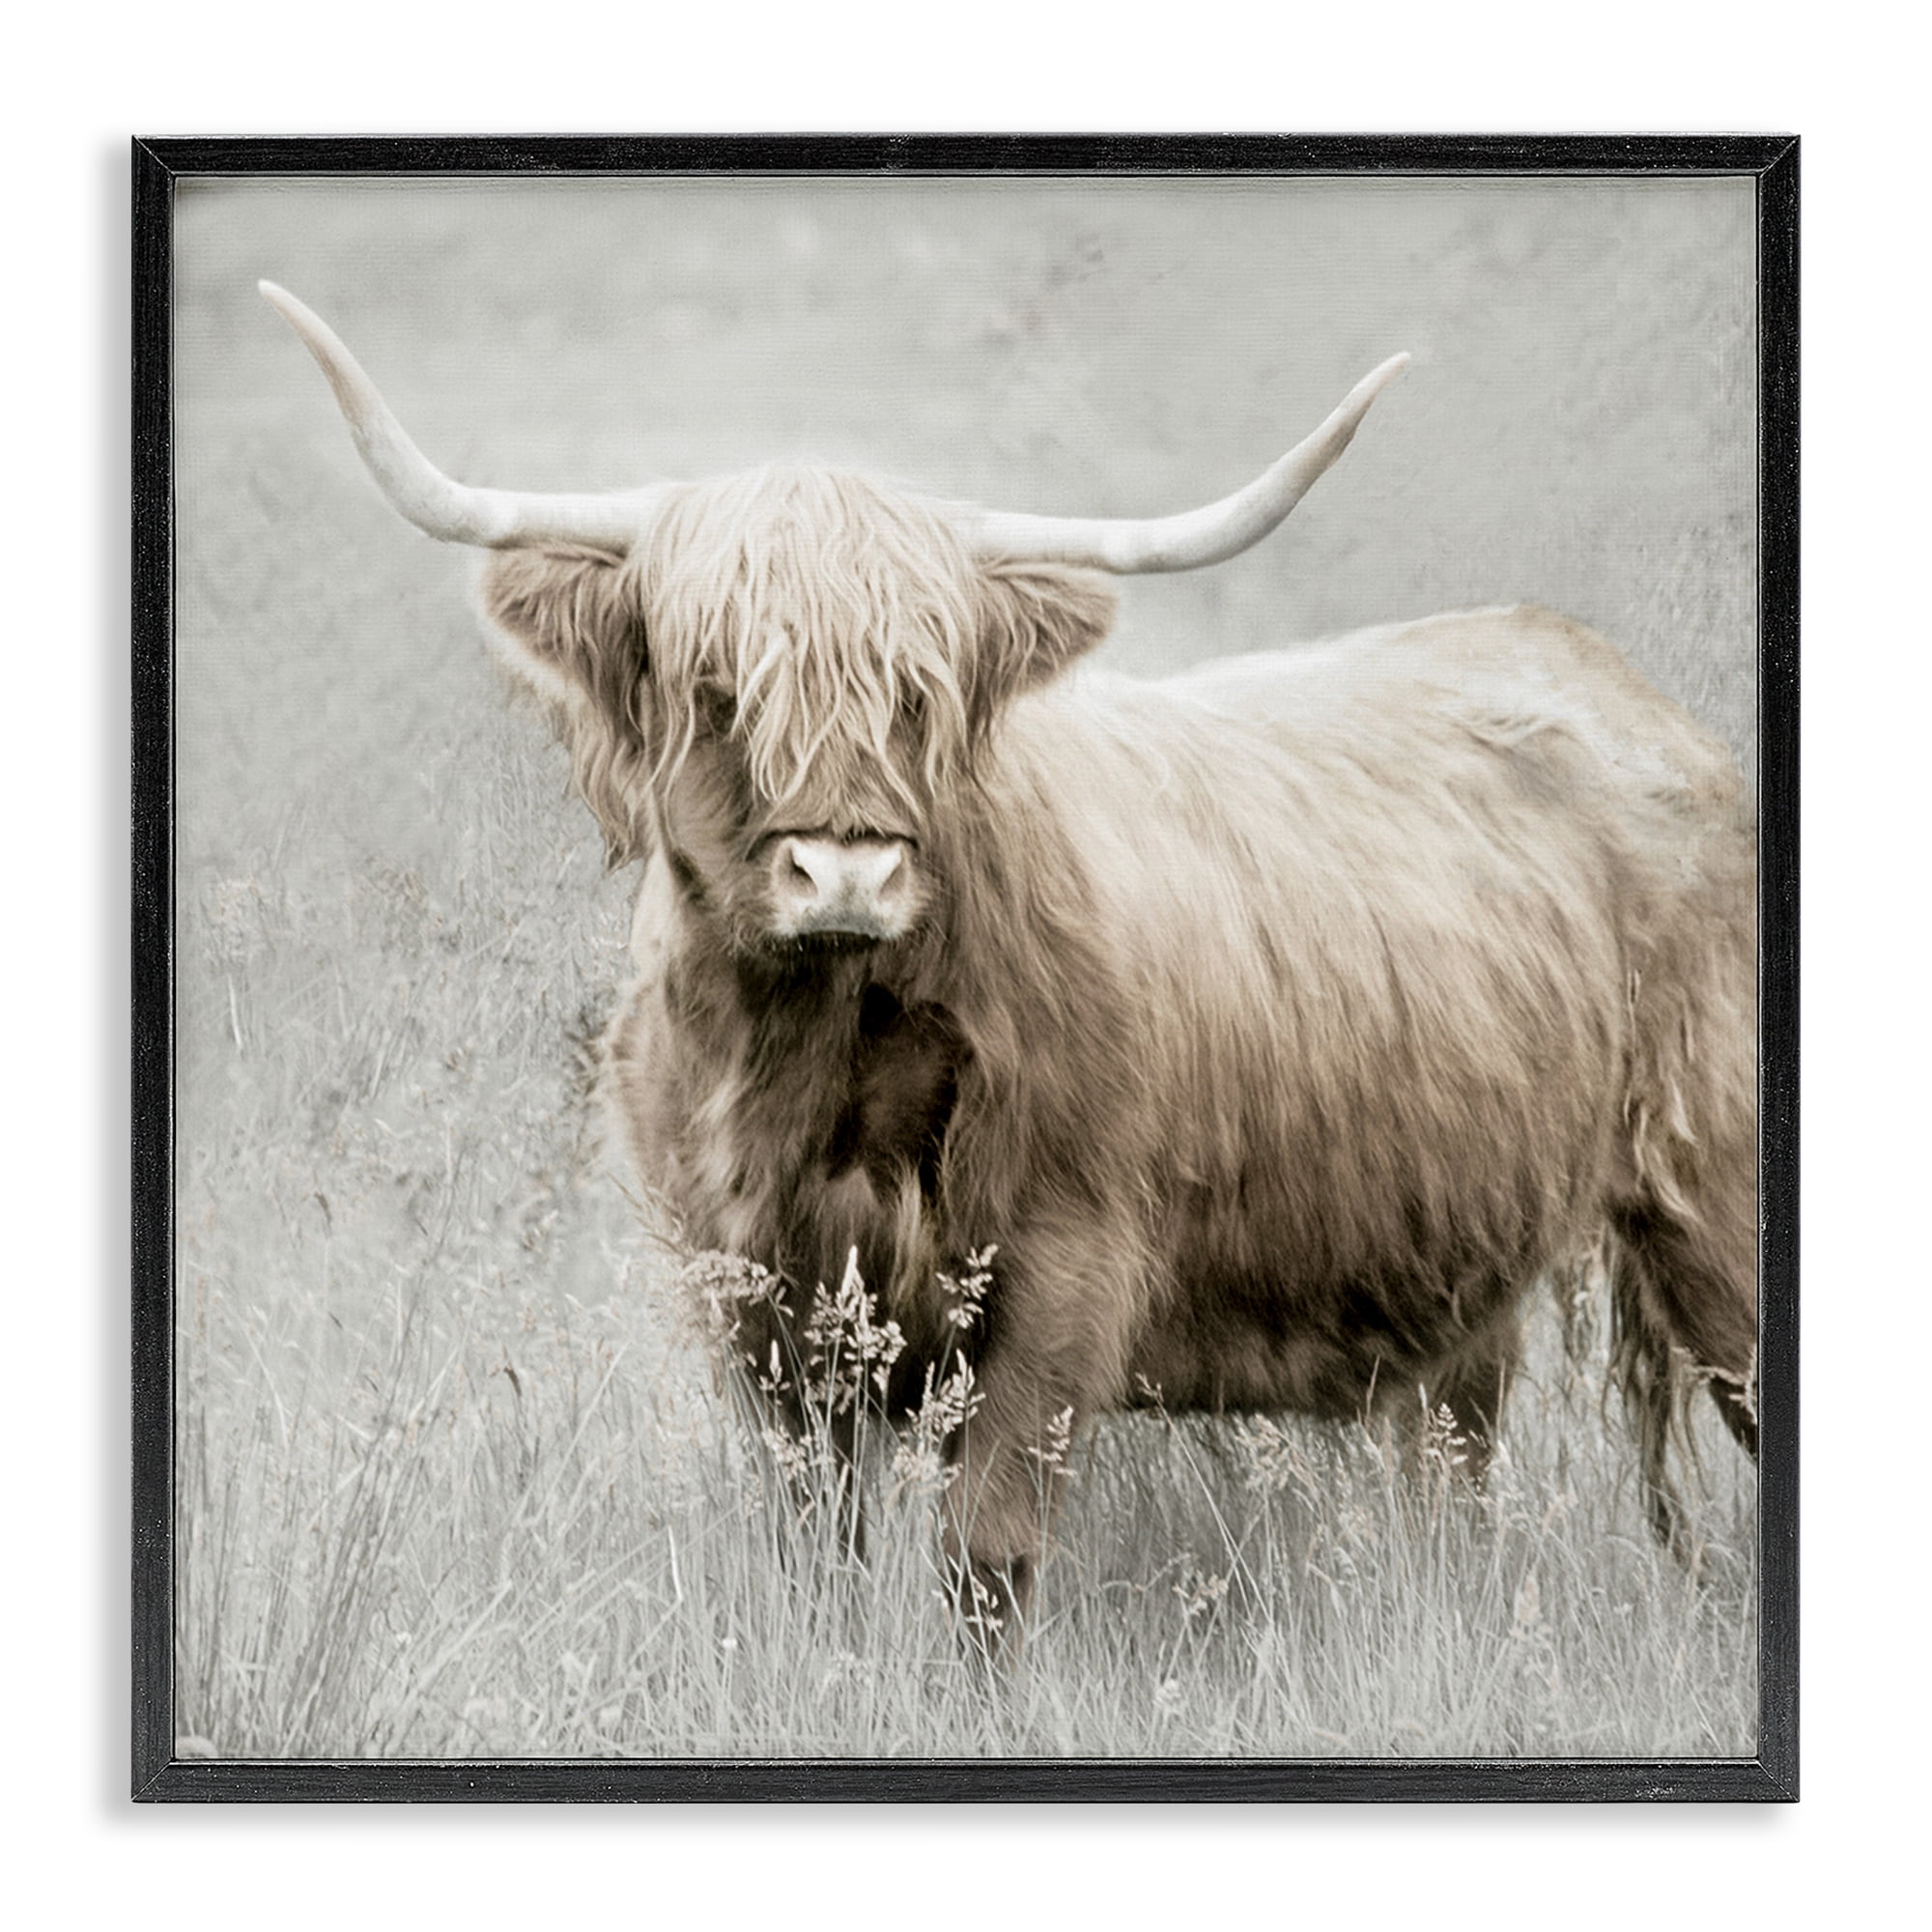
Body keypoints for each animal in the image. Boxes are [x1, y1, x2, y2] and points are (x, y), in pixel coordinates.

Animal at [261, 282, 1759, 1641]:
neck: (815, 1061)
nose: (844, 873)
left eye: (918, 694)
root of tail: (1623, 690)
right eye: (717, 688)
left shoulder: (1063, 1271)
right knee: (1456, 1452)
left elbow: (983, 1558)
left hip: (1711, 1190)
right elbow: (809, 1548)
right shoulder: (749, 1297)